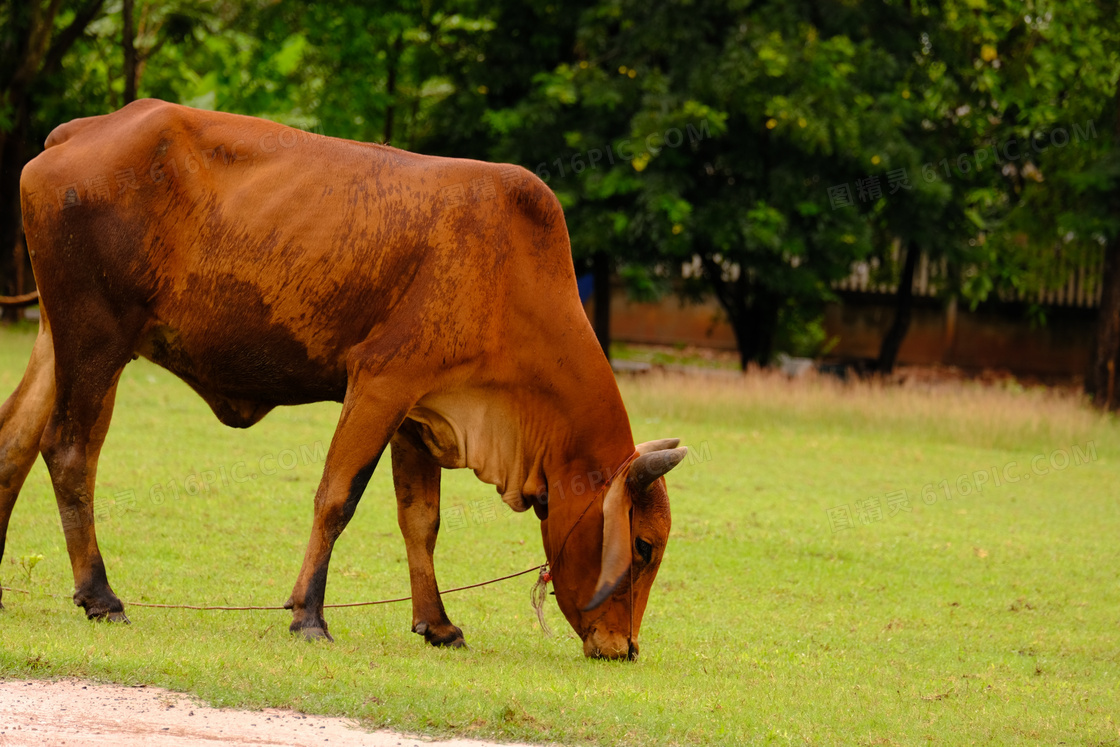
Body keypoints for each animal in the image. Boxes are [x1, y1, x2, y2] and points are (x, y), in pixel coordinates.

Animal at [0, 99, 680, 658]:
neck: (511, 276)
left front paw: (437, 624)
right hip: (97, 339)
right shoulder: (380, 382)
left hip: (59, 339)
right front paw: (308, 616)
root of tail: (79, 131)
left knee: (15, 442)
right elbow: (336, 498)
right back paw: (101, 595)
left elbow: (421, 520)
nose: (624, 648)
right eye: (644, 547)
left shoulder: (418, 410)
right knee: (69, 451)